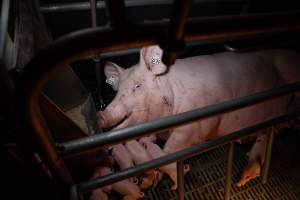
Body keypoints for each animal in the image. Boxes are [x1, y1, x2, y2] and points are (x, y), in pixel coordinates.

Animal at [99, 46, 300, 187]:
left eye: (138, 86)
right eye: (117, 90)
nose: (101, 115)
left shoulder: (197, 124)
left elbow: (170, 150)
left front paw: (151, 180)